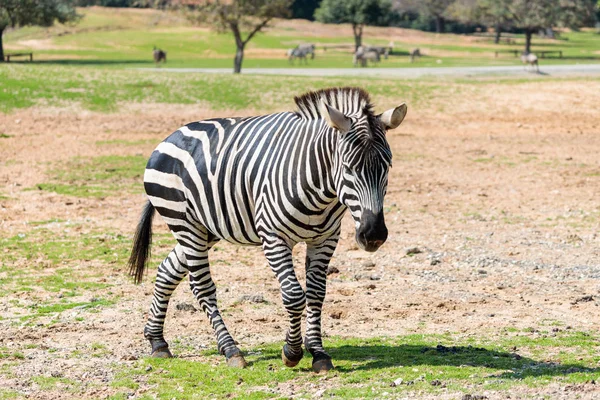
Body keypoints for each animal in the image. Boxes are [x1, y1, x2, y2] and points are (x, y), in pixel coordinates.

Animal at [127, 86, 408, 372]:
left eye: (387, 167)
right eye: (349, 168)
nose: (373, 235)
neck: (321, 189)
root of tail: (171, 136)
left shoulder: (325, 239)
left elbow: (316, 294)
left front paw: (317, 352)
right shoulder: (273, 236)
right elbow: (294, 296)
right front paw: (292, 351)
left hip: (206, 229)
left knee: (167, 271)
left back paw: (157, 342)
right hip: (185, 224)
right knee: (202, 287)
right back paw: (231, 350)